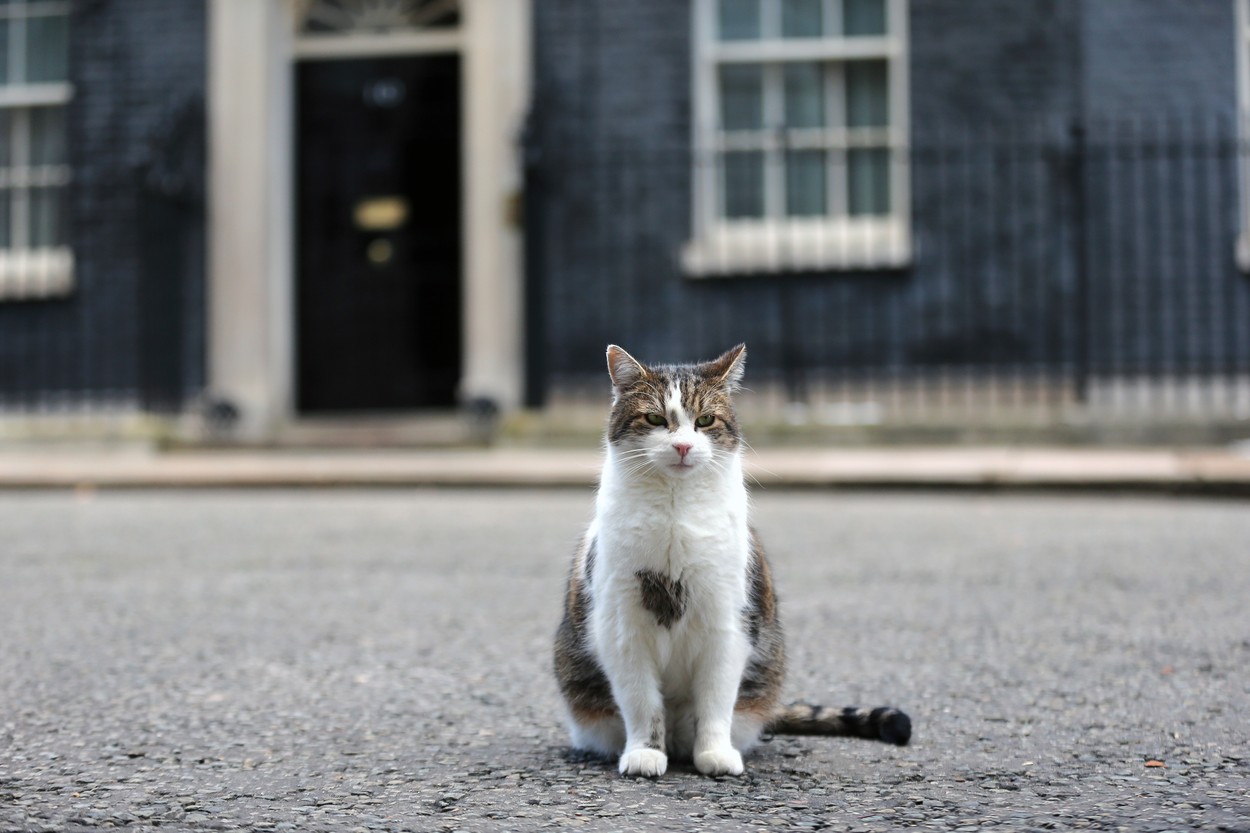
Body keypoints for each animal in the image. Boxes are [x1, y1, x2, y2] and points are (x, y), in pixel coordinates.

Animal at [555, 340, 910, 775]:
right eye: (655, 418)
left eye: (705, 420)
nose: (683, 446)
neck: (675, 512)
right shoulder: (623, 626)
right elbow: (641, 702)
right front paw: (644, 753)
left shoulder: (727, 623)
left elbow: (716, 699)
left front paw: (714, 754)